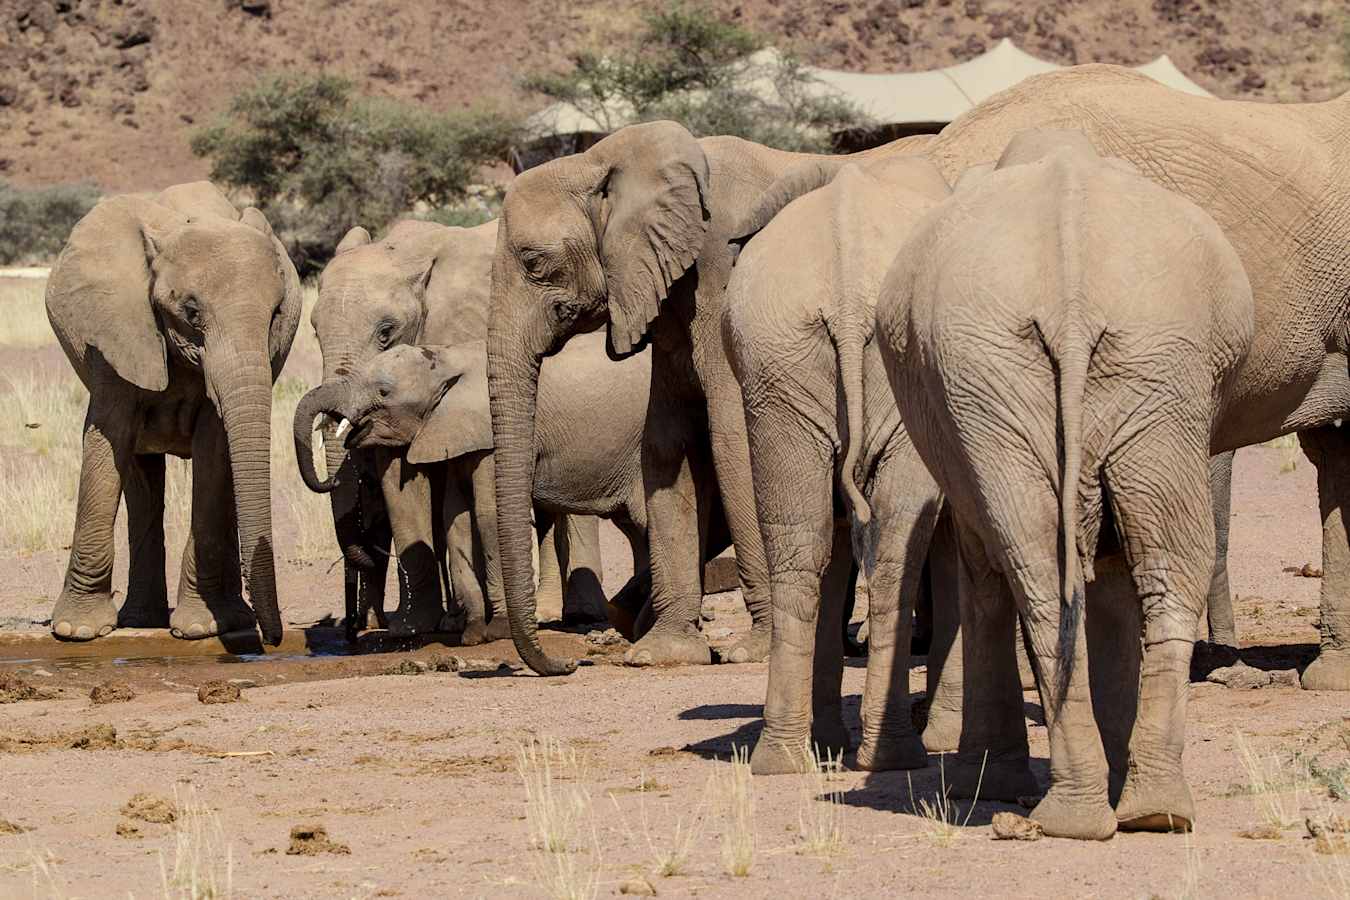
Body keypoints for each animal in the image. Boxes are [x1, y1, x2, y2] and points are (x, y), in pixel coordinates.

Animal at [44, 181, 302, 644]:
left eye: (276, 314)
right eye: (191, 312)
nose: (273, 639)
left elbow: (216, 452)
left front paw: (200, 628)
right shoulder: (115, 334)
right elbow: (108, 440)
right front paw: (77, 630)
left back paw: (227, 618)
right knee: (140, 477)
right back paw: (141, 621)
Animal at [293, 332, 654, 644]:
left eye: (383, 392)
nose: (332, 479)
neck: (448, 358)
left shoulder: (490, 436)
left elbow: (487, 514)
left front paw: (499, 630)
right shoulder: (454, 434)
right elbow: (457, 518)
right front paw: (474, 633)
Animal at [295, 219, 607, 637]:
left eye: (385, 332)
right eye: (314, 331)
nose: (350, 632)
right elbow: (401, 480)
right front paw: (412, 629)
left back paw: (573, 615)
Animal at [875, 130, 1254, 839]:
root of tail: (1072, 289)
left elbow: (993, 563)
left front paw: (984, 785)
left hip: (1047, 368)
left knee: (1038, 563)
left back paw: (1097, 810)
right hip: (1134, 365)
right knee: (1150, 561)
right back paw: (1143, 811)